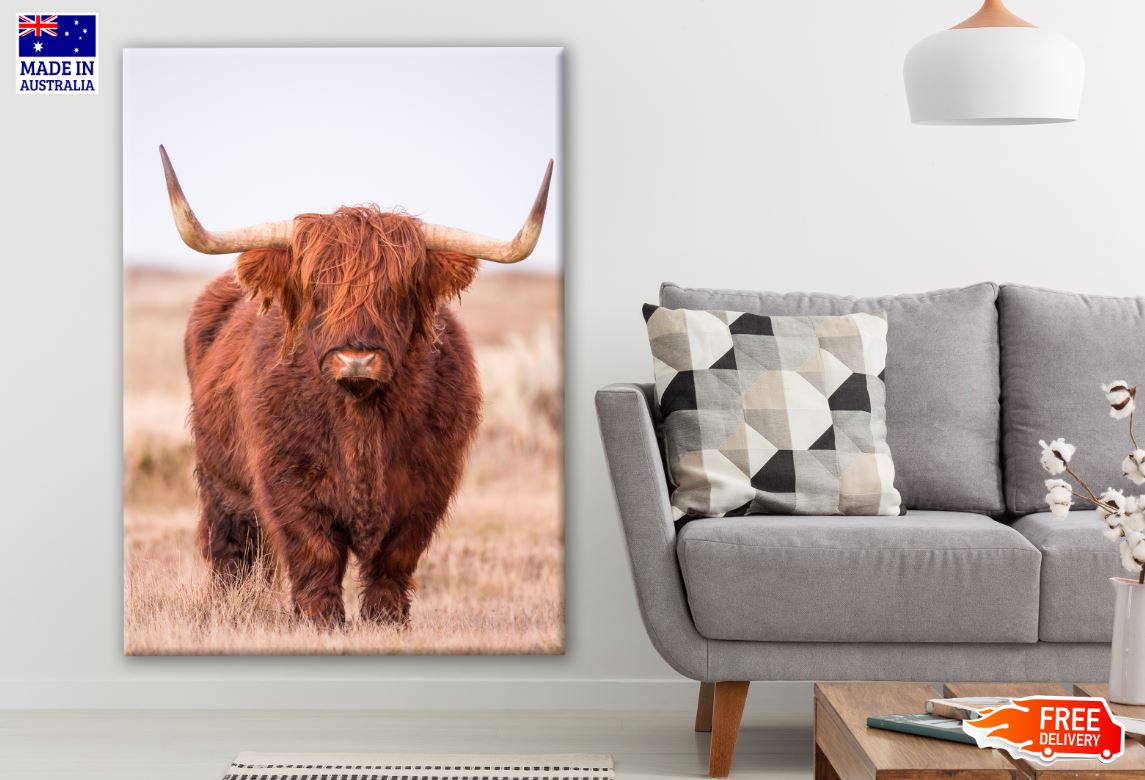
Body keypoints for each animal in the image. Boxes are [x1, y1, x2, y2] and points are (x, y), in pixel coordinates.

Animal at [158, 146, 552, 627]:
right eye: (317, 289)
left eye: (398, 291)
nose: (356, 359)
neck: (360, 419)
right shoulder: (287, 480)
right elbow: (315, 550)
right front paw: (319, 619)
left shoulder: (427, 485)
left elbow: (396, 555)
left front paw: (387, 619)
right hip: (220, 481)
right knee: (231, 545)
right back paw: (230, 601)